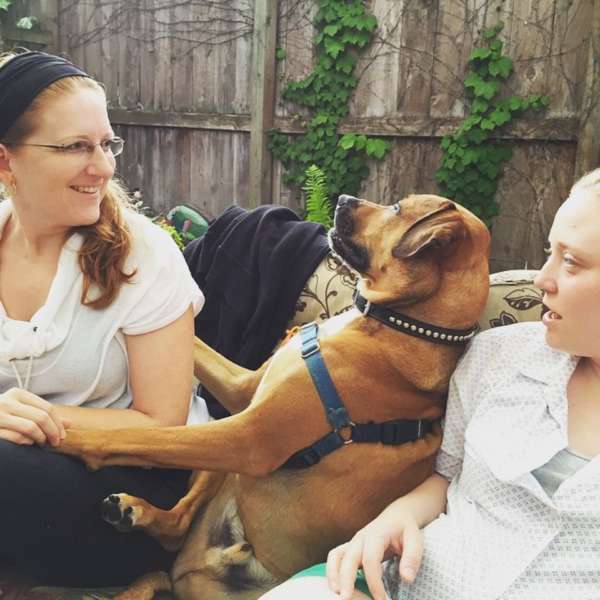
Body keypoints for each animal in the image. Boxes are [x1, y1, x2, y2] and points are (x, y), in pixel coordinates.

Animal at [57, 194, 490, 600]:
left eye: (397, 208)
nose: (344, 198)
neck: (398, 326)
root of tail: (188, 574)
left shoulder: (249, 437)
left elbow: (137, 437)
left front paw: (60, 432)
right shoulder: (243, 392)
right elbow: (193, 345)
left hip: (228, 449)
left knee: (175, 526)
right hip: (222, 464)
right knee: (177, 526)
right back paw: (138, 512)